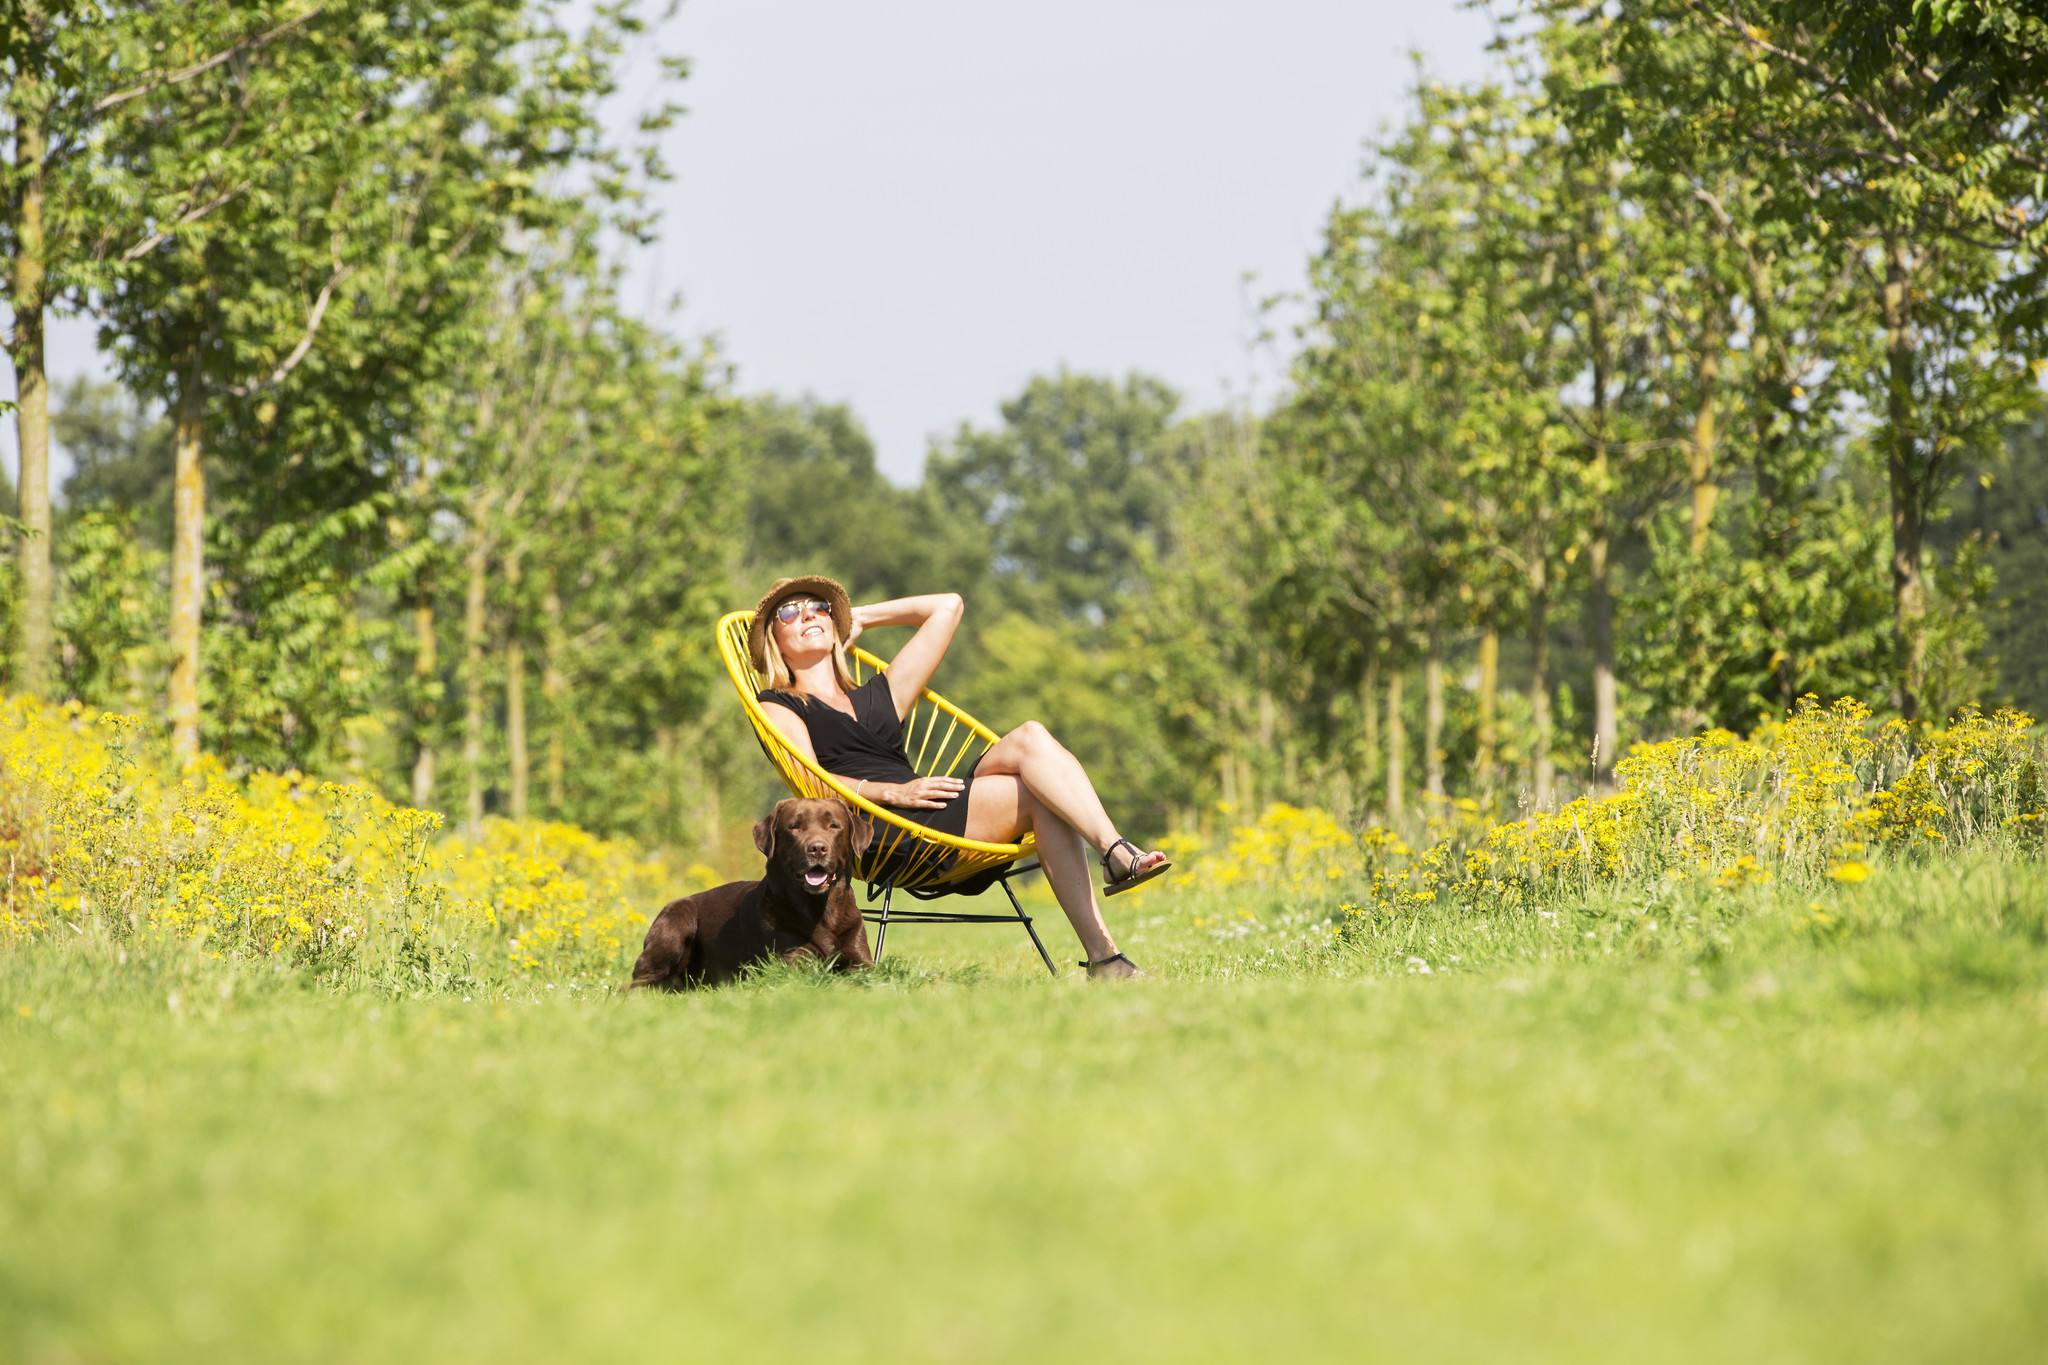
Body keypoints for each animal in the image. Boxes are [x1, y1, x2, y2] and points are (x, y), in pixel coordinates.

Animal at [630, 794, 872, 986]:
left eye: (834, 826)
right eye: (794, 826)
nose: (818, 848)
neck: (821, 912)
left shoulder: (862, 962)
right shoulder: (792, 966)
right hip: (678, 917)